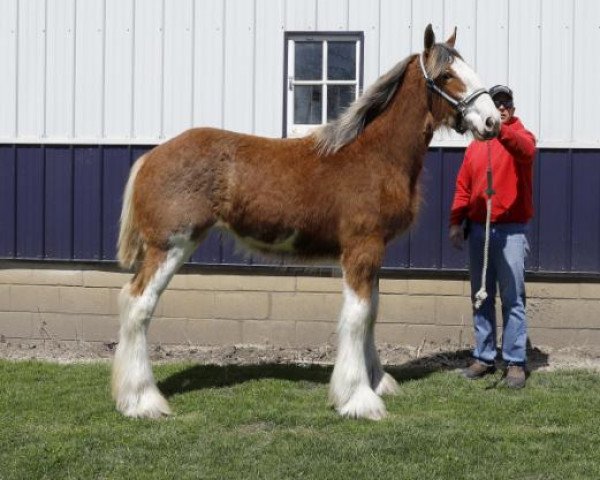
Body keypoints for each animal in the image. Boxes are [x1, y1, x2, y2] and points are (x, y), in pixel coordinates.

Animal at [113, 24, 502, 420]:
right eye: (447, 75)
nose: (493, 121)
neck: (375, 155)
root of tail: (150, 157)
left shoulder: (373, 253)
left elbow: (372, 314)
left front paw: (377, 381)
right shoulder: (360, 250)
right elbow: (357, 317)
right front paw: (358, 398)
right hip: (171, 245)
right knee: (138, 305)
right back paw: (142, 400)